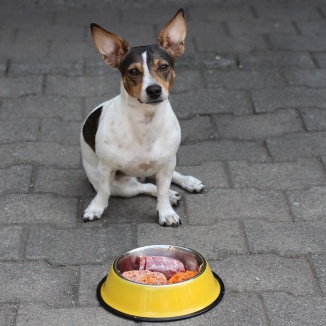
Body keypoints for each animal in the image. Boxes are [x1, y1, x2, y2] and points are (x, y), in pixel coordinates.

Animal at [81, 8, 204, 227]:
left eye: (163, 67)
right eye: (133, 71)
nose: (154, 90)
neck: (147, 122)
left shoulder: (167, 164)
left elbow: (162, 190)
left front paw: (166, 212)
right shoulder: (106, 170)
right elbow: (104, 192)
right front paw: (96, 208)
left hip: (167, 162)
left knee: (164, 180)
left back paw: (187, 182)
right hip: (123, 187)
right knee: (144, 187)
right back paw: (172, 194)